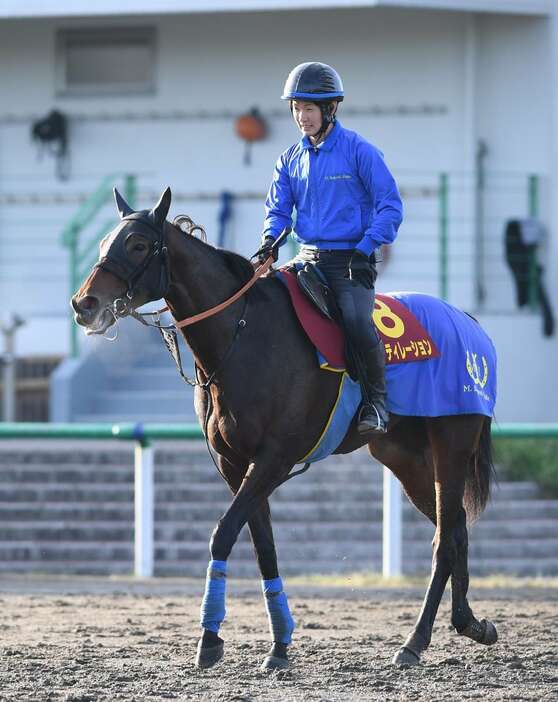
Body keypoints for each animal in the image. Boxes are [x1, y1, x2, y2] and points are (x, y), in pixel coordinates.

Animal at [71, 190, 498, 672]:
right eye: (104, 242)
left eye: (139, 244)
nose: (84, 304)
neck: (243, 334)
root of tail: (471, 324)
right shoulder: (235, 464)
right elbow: (263, 547)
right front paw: (278, 644)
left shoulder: (273, 459)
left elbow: (223, 534)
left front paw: (210, 638)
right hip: (405, 458)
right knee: (455, 529)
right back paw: (470, 623)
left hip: (451, 444)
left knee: (445, 540)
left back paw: (415, 640)